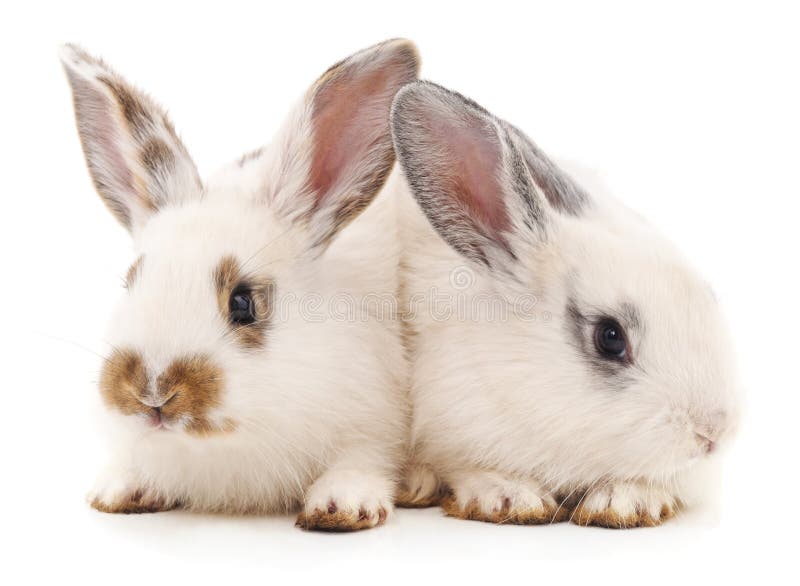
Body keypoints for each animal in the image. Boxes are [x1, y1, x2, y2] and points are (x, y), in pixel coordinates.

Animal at [60, 39, 419, 531]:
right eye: (131, 281)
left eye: (243, 303)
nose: (152, 392)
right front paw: (118, 490)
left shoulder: (374, 423)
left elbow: (362, 461)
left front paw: (341, 505)